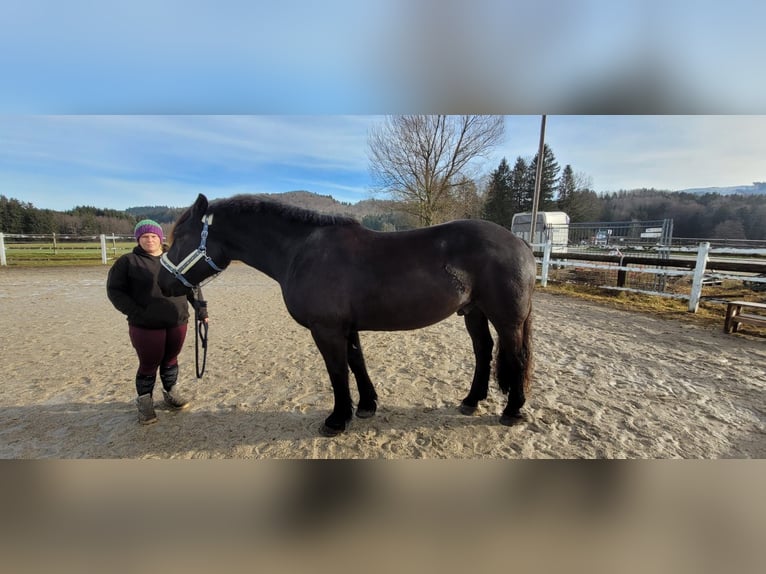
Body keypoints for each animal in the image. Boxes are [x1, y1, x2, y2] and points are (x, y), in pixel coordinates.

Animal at [159, 194, 536, 436]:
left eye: (181, 237)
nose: (163, 282)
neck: (301, 251)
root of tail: (521, 243)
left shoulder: (326, 330)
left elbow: (337, 372)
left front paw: (337, 420)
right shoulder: (347, 327)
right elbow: (357, 363)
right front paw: (367, 406)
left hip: (507, 318)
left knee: (515, 357)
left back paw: (512, 411)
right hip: (474, 312)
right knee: (484, 351)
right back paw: (471, 401)